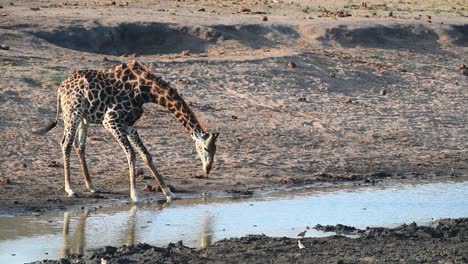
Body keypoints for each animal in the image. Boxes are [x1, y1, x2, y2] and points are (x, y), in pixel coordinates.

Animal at [33, 60, 219, 203]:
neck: (147, 91)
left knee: (79, 146)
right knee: (66, 143)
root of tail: (61, 87)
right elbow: (131, 153)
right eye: (205, 148)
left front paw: (169, 193)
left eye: (214, 150)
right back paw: (70, 189)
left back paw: (92, 186)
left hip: (84, 118)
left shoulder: (129, 124)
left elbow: (146, 155)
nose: (208, 169)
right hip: (73, 113)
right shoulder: (110, 120)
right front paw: (134, 196)